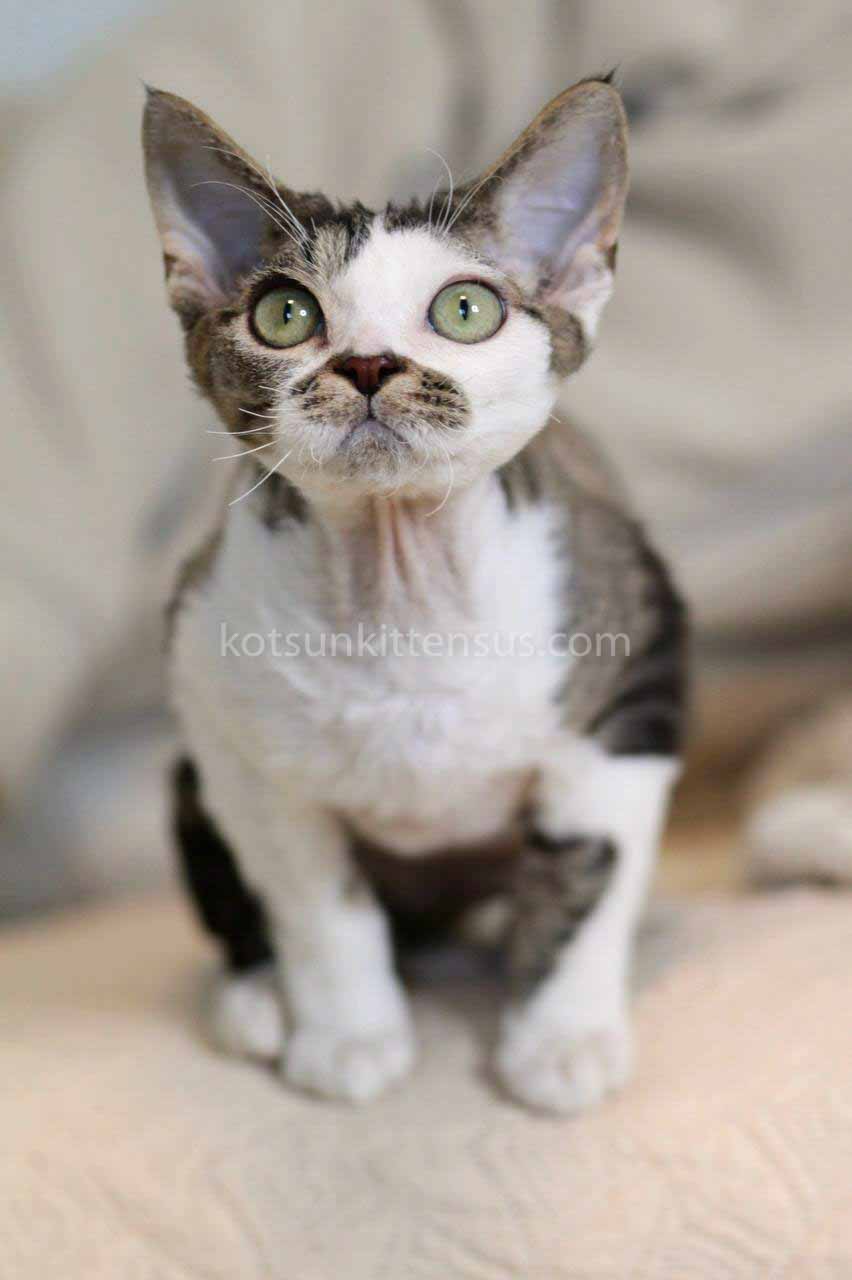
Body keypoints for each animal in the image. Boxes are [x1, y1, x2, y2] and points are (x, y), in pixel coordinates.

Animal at [143, 74, 686, 1113]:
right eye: (284, 315)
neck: (400, 592)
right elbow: (319, 904)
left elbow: (589, 874)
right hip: (191, 778)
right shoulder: (223, 722)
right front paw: (348, 1034)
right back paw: (257, 997)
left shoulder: (634, 687)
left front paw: (559, 1040)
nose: (366, 363)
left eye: (466, 310)